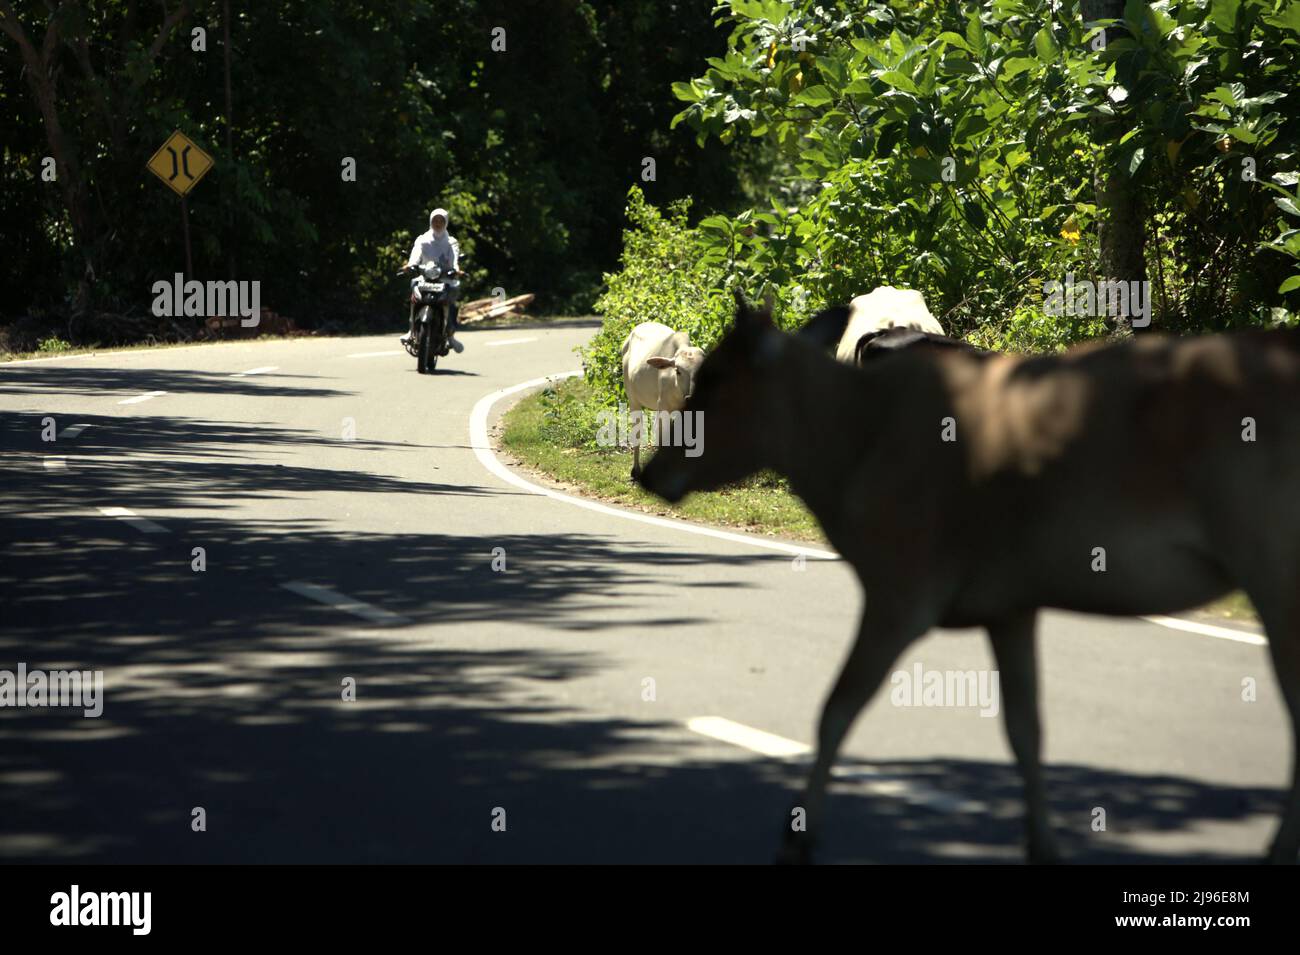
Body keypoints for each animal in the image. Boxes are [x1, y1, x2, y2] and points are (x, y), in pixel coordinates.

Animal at [621, 323, 707, 478]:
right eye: (678, 371)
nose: (691, 397)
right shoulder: (664, 408)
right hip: (633, 399)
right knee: (638, 432)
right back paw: (636, 470)